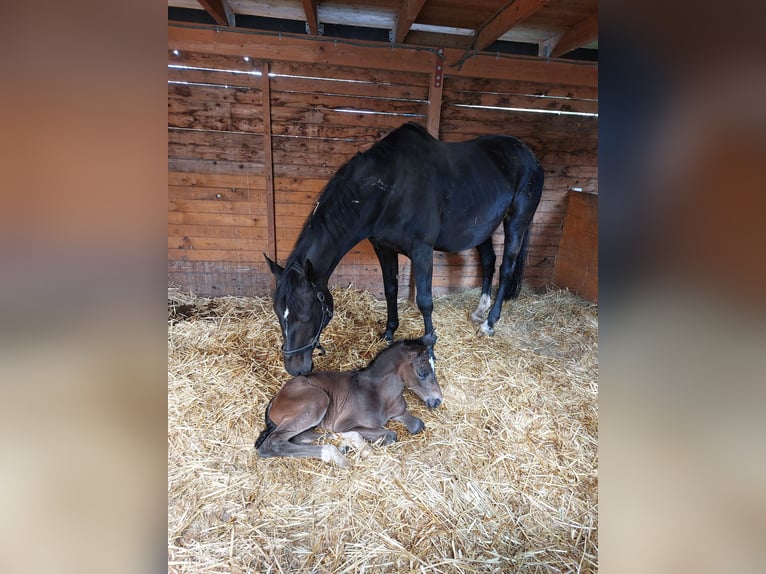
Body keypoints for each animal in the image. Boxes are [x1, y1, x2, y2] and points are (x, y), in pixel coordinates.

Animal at [255, 334, 442, 467]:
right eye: (422, 373)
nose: (438, 400)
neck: (378, 393)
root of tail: (275, 398)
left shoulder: (398, 412)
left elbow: (417, 425)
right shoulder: (344, 424)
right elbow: (390, 434)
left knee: (298, 437)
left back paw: (343, 446)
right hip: (318, 401)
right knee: (273, 442)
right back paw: (335, 454)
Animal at [265, 121, 543, 375]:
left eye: (307, 314)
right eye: (279, 313)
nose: (295, 369)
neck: (391, 188)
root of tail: (530, 156)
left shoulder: (422, 251)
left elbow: (425, 301)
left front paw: (430, 351)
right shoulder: (384, 248)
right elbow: (390, 289)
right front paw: (389, 332)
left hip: (516, 221)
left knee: (506, 268)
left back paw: (489, 322)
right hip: (483, 228)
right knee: (488, 261)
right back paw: (479, 311)